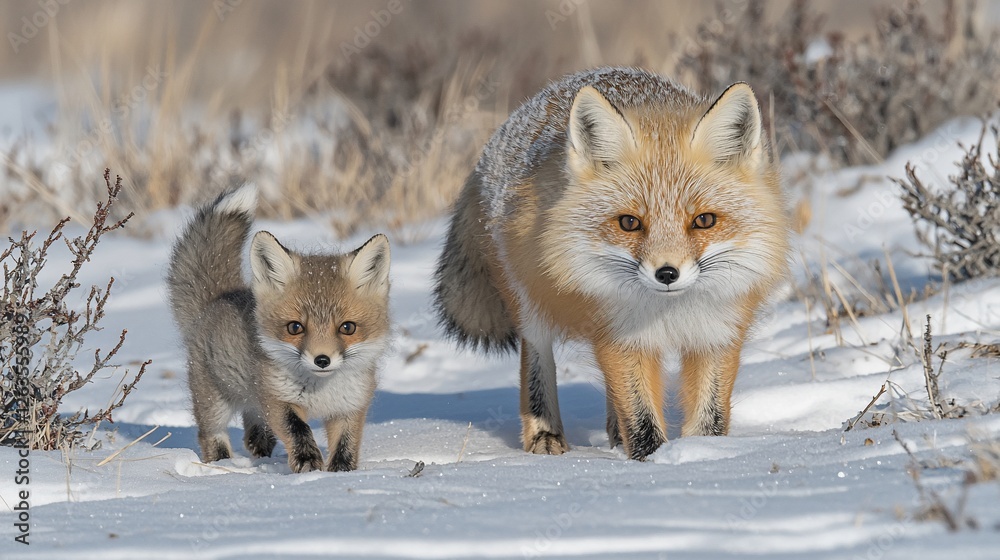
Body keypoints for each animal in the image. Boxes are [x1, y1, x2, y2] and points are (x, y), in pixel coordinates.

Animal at [167, 183, 391, 472]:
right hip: (214, 400)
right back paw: (223, 464)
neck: (321, 391)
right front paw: (308, 462)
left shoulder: (350, 406)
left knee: (252, 422)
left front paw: (340, 473)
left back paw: (259, 444)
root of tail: (217, 298)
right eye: (295, 327)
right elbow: (298, 429)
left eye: (347, 328)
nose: (322, 360)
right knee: (211, 433)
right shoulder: (276, 398)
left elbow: (346, 443)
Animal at [434, 67, 790, 461]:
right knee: (536, 357)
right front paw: (654, 462)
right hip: (530, 303)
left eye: (704, 221)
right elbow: (641, 419)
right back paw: (544, 433)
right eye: (629, 223)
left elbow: (707, 420)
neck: (670, 312)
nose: (667, 273)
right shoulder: (618, 333)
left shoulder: (717, 332)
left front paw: (701, 456)